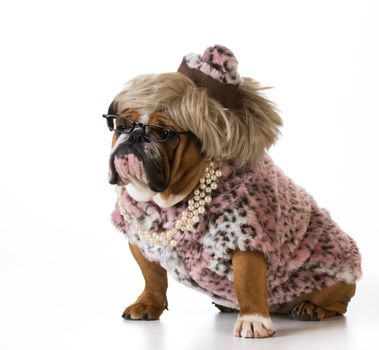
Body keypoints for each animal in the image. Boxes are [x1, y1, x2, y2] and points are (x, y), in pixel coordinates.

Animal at [104, 45, 362, 338]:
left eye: (164, 133)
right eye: (121, 126)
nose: (134, 137)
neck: (170, 201)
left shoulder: (245, 239)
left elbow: (248, 282)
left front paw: (253, 320)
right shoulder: (140, 240)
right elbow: (153, 276)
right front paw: (148, 304)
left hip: (334, 278)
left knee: (337, 303)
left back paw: (311, 308)